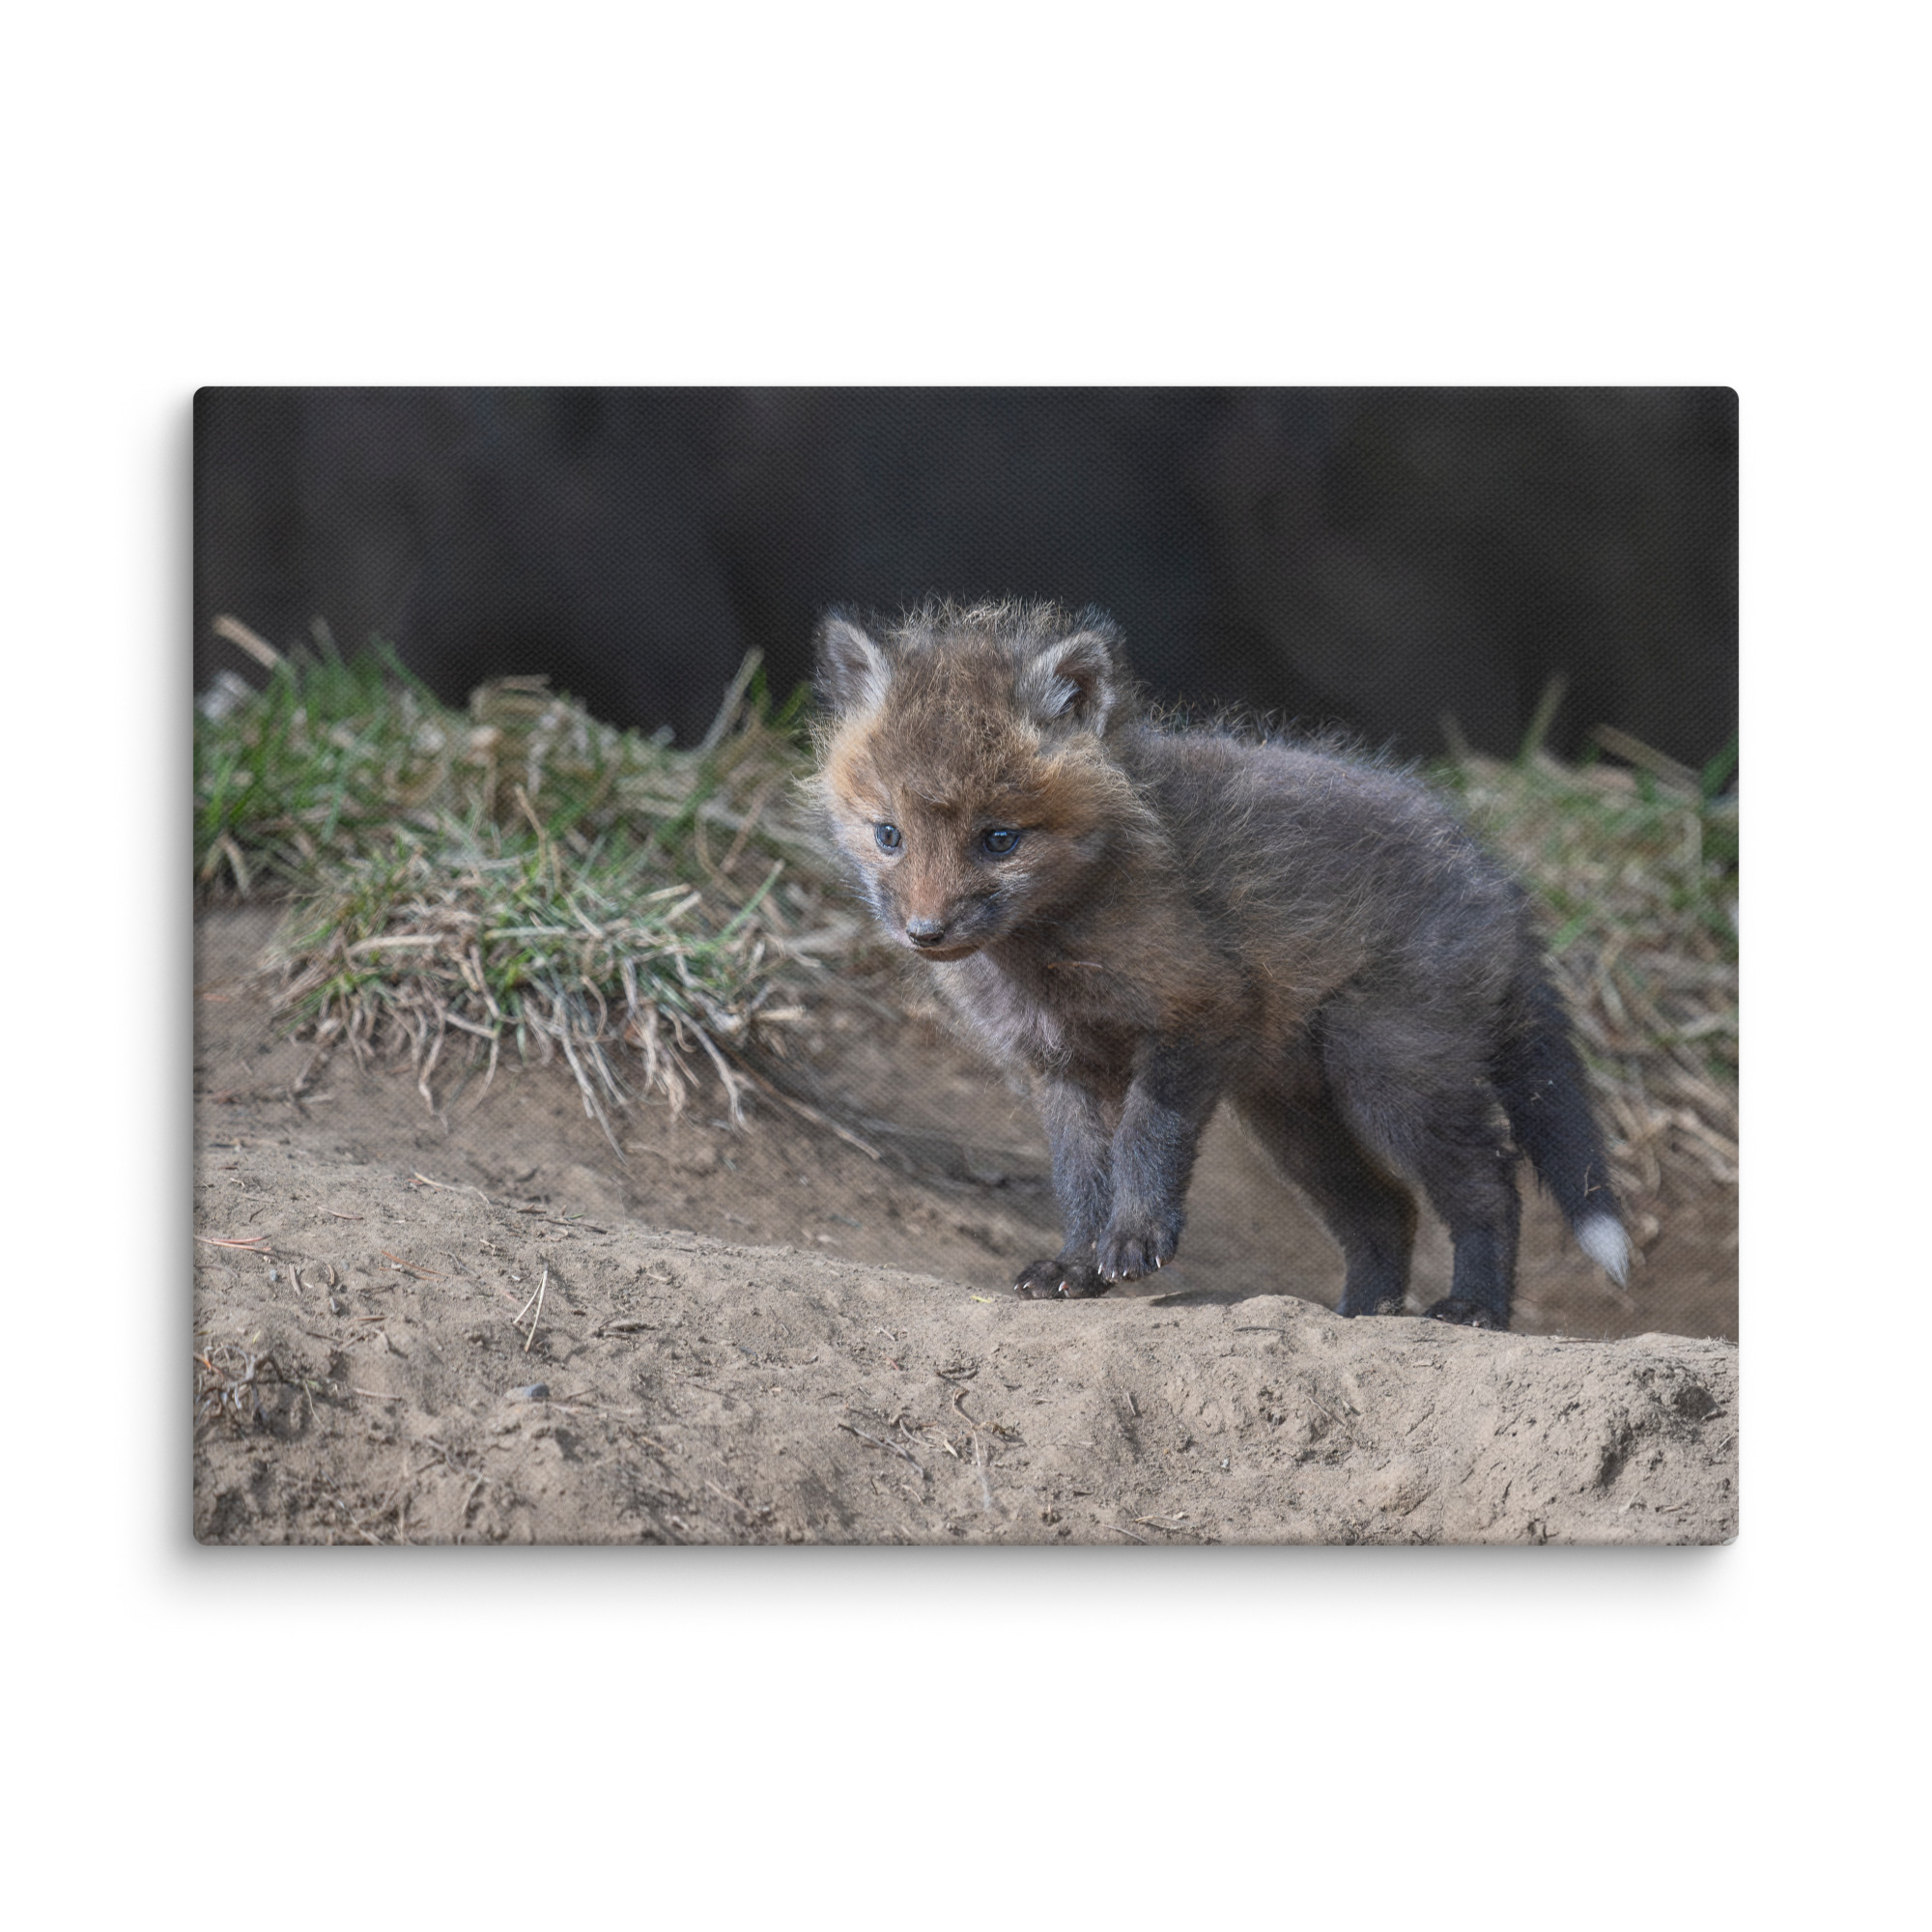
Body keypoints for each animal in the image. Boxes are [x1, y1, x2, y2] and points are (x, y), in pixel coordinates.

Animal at [810, 598, 1629, 1329]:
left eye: (999, 839)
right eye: (889, 835)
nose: (925, 932)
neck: (1047, 955)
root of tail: (1496, 877)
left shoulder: (1197, 1010)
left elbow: (1145, 1140)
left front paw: (1135, 1239)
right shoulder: (1059, 1064)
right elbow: (1079, 1178)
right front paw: (1076, 1265)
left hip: (1390, 1075)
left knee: (1490, 1184)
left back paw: (1474, 1307)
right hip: (1294, 1117)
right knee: (1387, 1211)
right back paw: (1361, 1315)